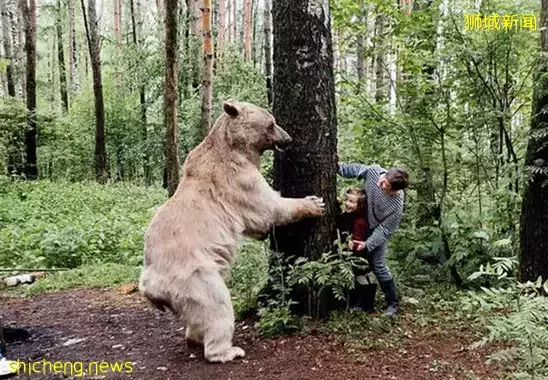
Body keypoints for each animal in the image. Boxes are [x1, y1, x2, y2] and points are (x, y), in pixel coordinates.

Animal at [138, 99, 326, 364]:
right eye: (271, 123)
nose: (288, 138)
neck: (233, 147)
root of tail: (149, 286)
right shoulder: (237, 178)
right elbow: (267, 207)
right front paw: (314, 203)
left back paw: (195, 338)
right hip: (194, 276)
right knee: (217, 306)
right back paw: (227, 350)